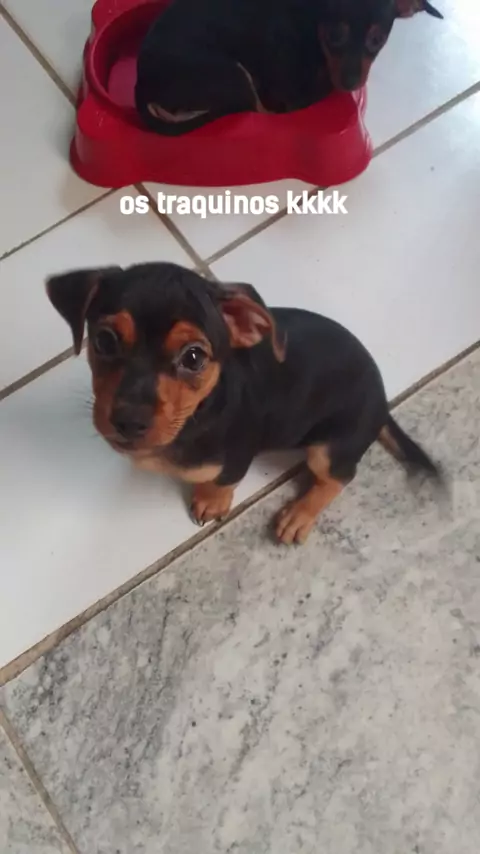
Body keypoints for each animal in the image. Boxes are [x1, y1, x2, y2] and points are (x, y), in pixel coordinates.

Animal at [46, 263, 442, 545]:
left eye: (193, 357)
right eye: (104, 340)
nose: (128, 421)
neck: (197, 413)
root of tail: (382, 399)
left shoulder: (237, 456)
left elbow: (223, 481)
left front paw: (211, 501)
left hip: (328, 448)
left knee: (340, 477)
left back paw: (299, 515)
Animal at [135, 0, 442, 135]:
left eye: (377, 39)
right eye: (335, 35)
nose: (351, 82)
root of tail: (141, 82)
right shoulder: (294, 93)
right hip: (233, 76)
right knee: (258, 110)